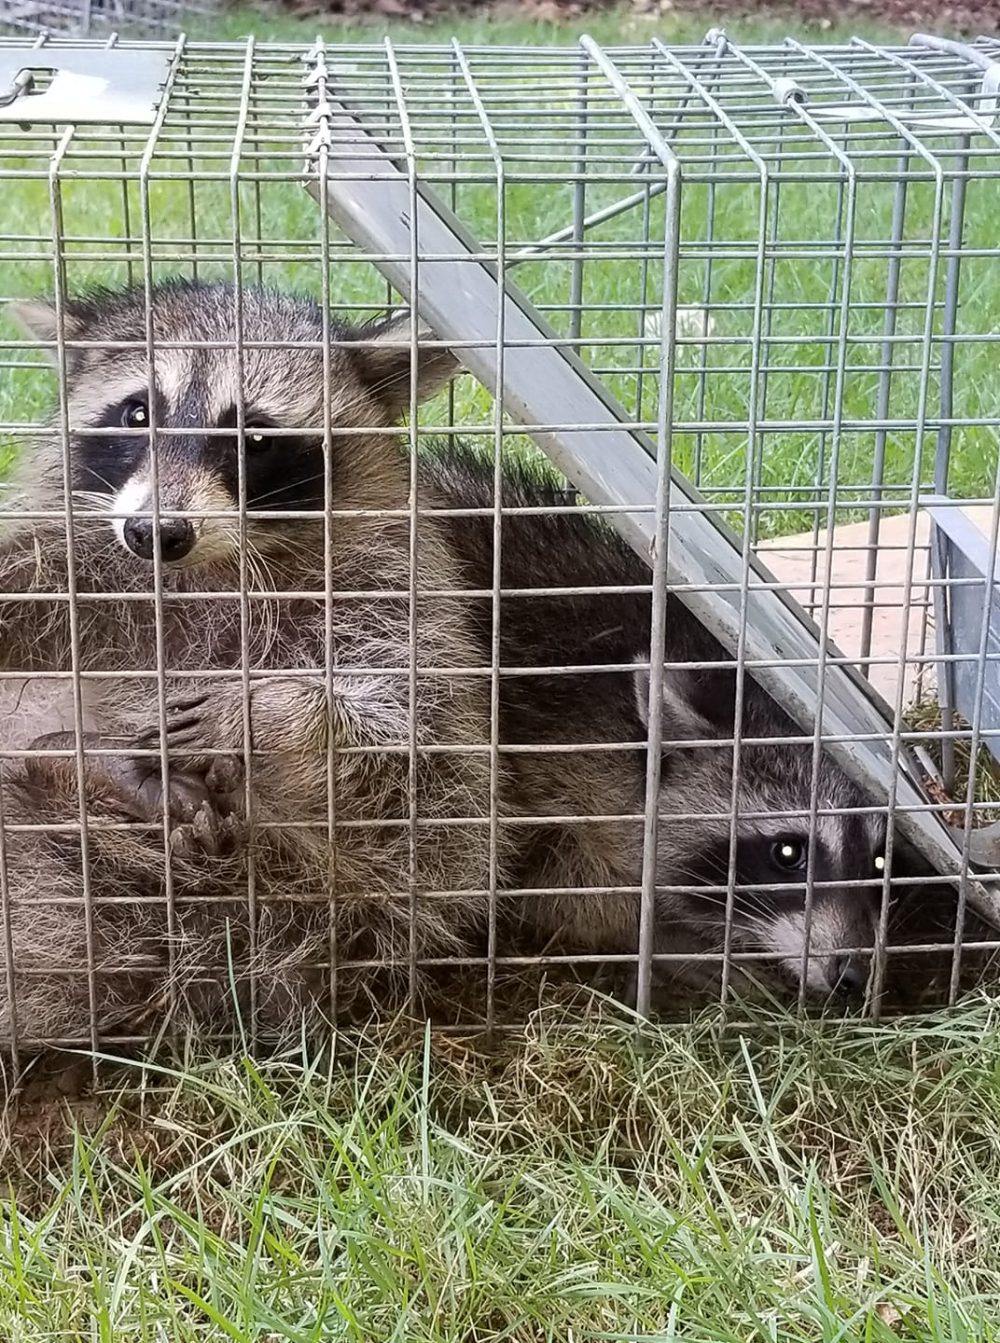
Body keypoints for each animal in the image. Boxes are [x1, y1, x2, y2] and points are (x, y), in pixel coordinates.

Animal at [0, 278, 506, 1045]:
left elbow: (419, 778)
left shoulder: (396, 604)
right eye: (138, 412)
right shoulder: (77, 569)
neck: (211, 573)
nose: (156, 532)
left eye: (256, 437)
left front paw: (273, 712)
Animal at [424, 442, 892, 1002]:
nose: (852, 977)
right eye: (787, 853)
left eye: (879, 862)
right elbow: (552, 889)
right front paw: (668, 939)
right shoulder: (534, 762)